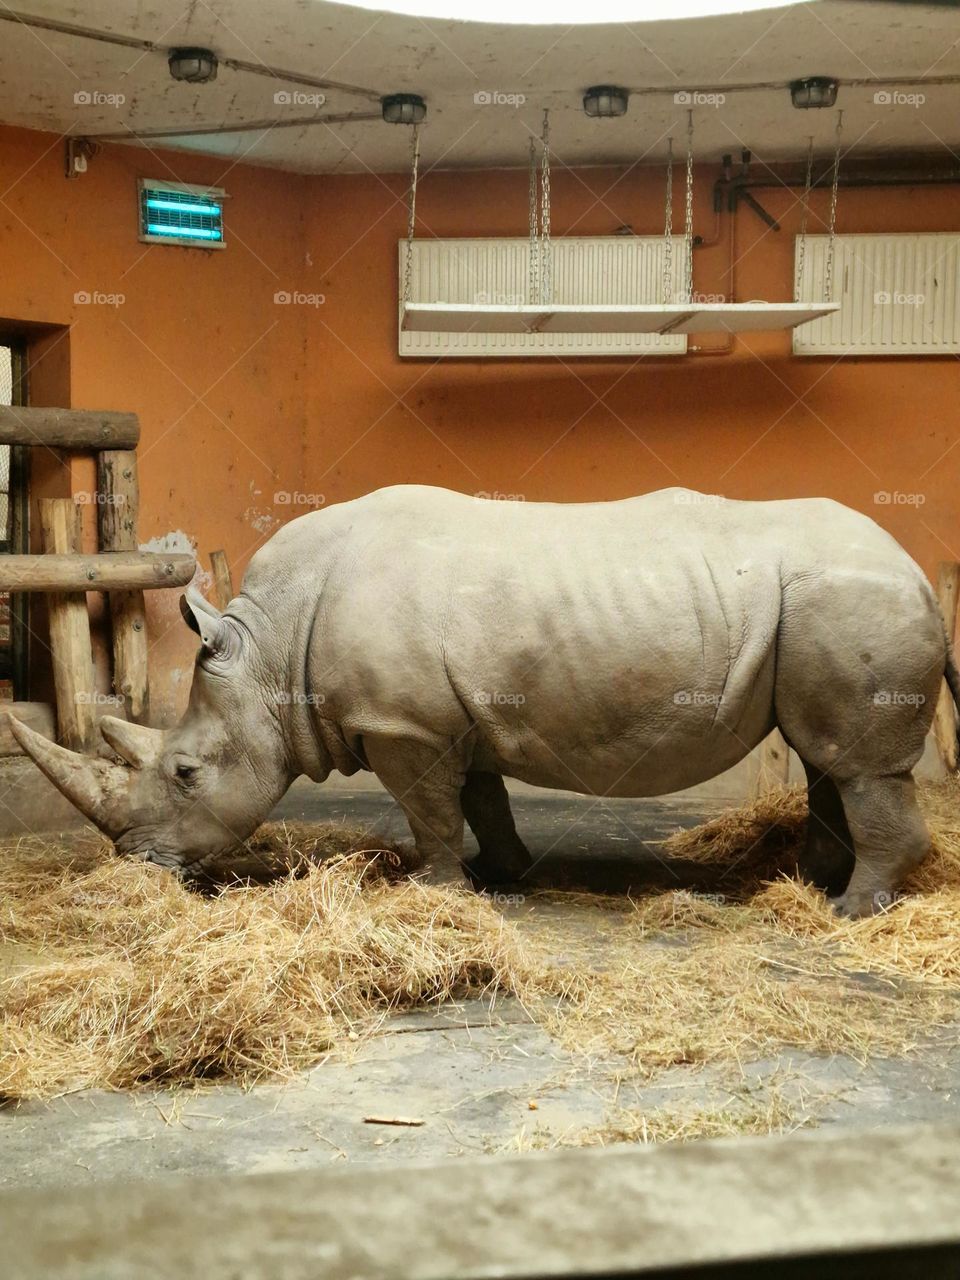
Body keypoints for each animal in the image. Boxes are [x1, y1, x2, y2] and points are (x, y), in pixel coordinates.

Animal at [10, 485, 958, 917]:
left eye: (185, 773)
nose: (138, 864)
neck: (270, 652)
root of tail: (920, 573)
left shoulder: (403, 724)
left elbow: (432, 811)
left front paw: (431, 889)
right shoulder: (447, 715)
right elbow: (481, 796)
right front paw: (505, 873)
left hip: (850, 601)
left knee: (858, 766)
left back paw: (847, 910)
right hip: (827, 613)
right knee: (827, 756)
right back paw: (810, 881)